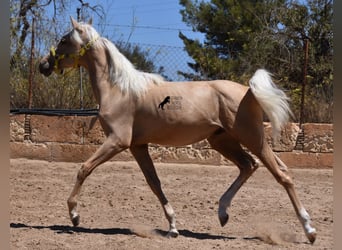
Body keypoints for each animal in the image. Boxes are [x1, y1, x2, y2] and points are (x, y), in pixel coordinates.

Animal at [38, 17, 316, 242]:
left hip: (252, 138)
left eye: (64, 40)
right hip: (222, 141)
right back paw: (222, 214)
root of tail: (249, 91)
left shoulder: (118, 141)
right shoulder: (138, 146)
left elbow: (84, 169)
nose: (43, 65)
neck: (120, 90)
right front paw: (173, 227)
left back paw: (310, 231)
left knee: (282, 175)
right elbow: (154, 183)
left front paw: (74, 215)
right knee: (248, 166)